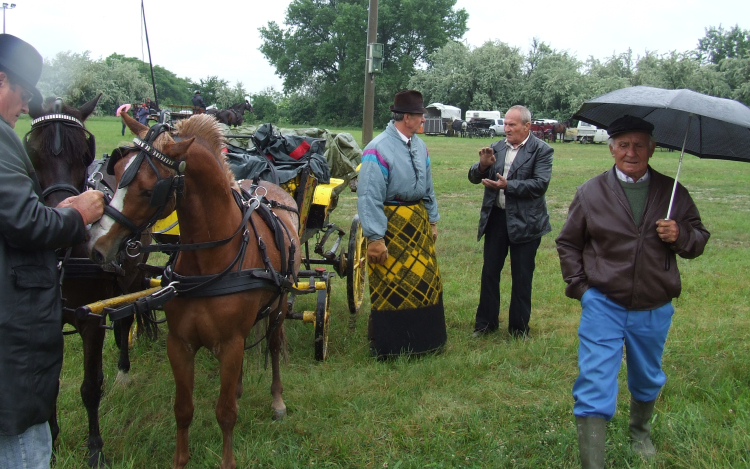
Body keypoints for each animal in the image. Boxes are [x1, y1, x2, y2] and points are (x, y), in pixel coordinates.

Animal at [25, 94, 151, 464]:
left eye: (84, 151)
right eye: (32, 151)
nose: (64, 218)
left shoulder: (92, 320)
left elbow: (90, 388)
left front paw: (95, 449)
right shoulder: (50, 321)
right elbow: (48, 386)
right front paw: (52, 446)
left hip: (132, 277)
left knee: (125, 321)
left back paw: (122, 370)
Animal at [86, 110, 302, 468]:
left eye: (149, 190)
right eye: (115, 173)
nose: (97, 245)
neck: (210, 262)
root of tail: (267, 186)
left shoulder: (230, 342)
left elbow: (226, 413)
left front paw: (228, 460)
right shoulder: (180, 344)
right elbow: (183, 410)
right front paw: (180, 459)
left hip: (280, 303)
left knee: (272, 345)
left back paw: (277, 400)